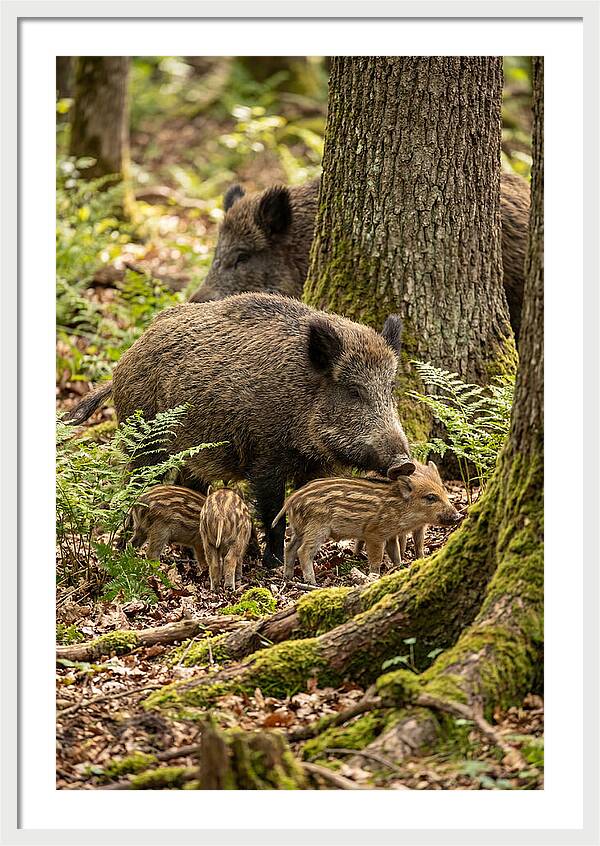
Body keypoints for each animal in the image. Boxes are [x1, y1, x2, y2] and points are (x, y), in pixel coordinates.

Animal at [65, 293, 412, 569]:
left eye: (390, 389)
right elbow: (273, 512)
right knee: (134, 486)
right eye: (354, 391)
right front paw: (272, 564)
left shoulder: (314, 467)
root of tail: (123, 360)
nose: (404, 463)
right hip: (146, 441)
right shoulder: (265, 458)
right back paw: (123, 548)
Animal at [272, 460, 461, 585]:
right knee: (303, 551)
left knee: (289, 548)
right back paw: (312, 583)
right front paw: (374, 576)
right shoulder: (374, 534)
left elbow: (395, 553)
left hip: (300, 529)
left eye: (443, 490)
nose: (458, 516)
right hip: (316, 528)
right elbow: (376, 558)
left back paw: (288, 577)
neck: (400, 508)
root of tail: (291, 499)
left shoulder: (390, 535)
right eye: (430, 497)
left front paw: (399, 568)